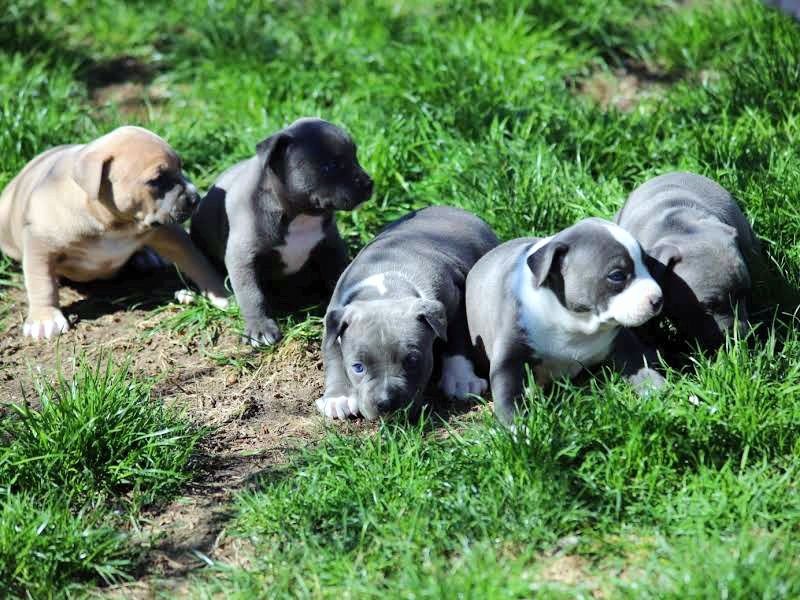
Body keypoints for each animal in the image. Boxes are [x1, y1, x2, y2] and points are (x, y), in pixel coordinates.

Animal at [0, 124, 228, 340]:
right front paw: (44, 319)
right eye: (156, 180)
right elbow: (41, 282)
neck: (114, 224)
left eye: (181, 167)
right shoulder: (40, 244)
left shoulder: (170, 234)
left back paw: (146, 256)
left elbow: (198, 262)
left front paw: (220, 293)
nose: (196, 198)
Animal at [191, 117, 376, 346]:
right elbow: (252, 295)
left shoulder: (331, 245)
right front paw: (260, 328)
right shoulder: (243, 260)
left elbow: (340, 272)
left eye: (355, 157)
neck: (300, 216)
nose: (369, 183)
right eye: (330, 166)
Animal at [316, 206, 496, 422]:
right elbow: (332, 354)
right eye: (358, 367)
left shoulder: (457, 298)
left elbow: (458, 341)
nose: (385, 403)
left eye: (412, 361)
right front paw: (338, 397)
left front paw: (461, 379)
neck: (386, 288)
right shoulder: (335, 315)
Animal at [466, 219, 664, 426]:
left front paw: (659, 389)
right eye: (616, 275)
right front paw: (518, 427)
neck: (574, 323)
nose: (658, 299)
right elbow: (507, 391)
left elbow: (642, 364)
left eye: (647, 264)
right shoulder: (509, 357)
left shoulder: (623, 341)